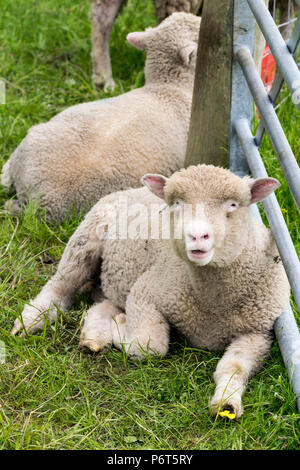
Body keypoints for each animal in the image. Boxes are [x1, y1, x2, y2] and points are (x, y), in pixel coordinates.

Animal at [10, 165, 290, 418]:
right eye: (175, 203)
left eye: (233, 205)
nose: (197, 236)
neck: (212, 305)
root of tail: (132, 189)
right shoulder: (147, 292)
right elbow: (150, 346)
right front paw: (123, 328)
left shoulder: (257, 333)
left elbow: (234, 368)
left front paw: (227, 402)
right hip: (87, 237)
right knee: (60, 285)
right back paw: (30, 321)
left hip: (114, 278)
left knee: (103, 302)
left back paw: (94, 337)